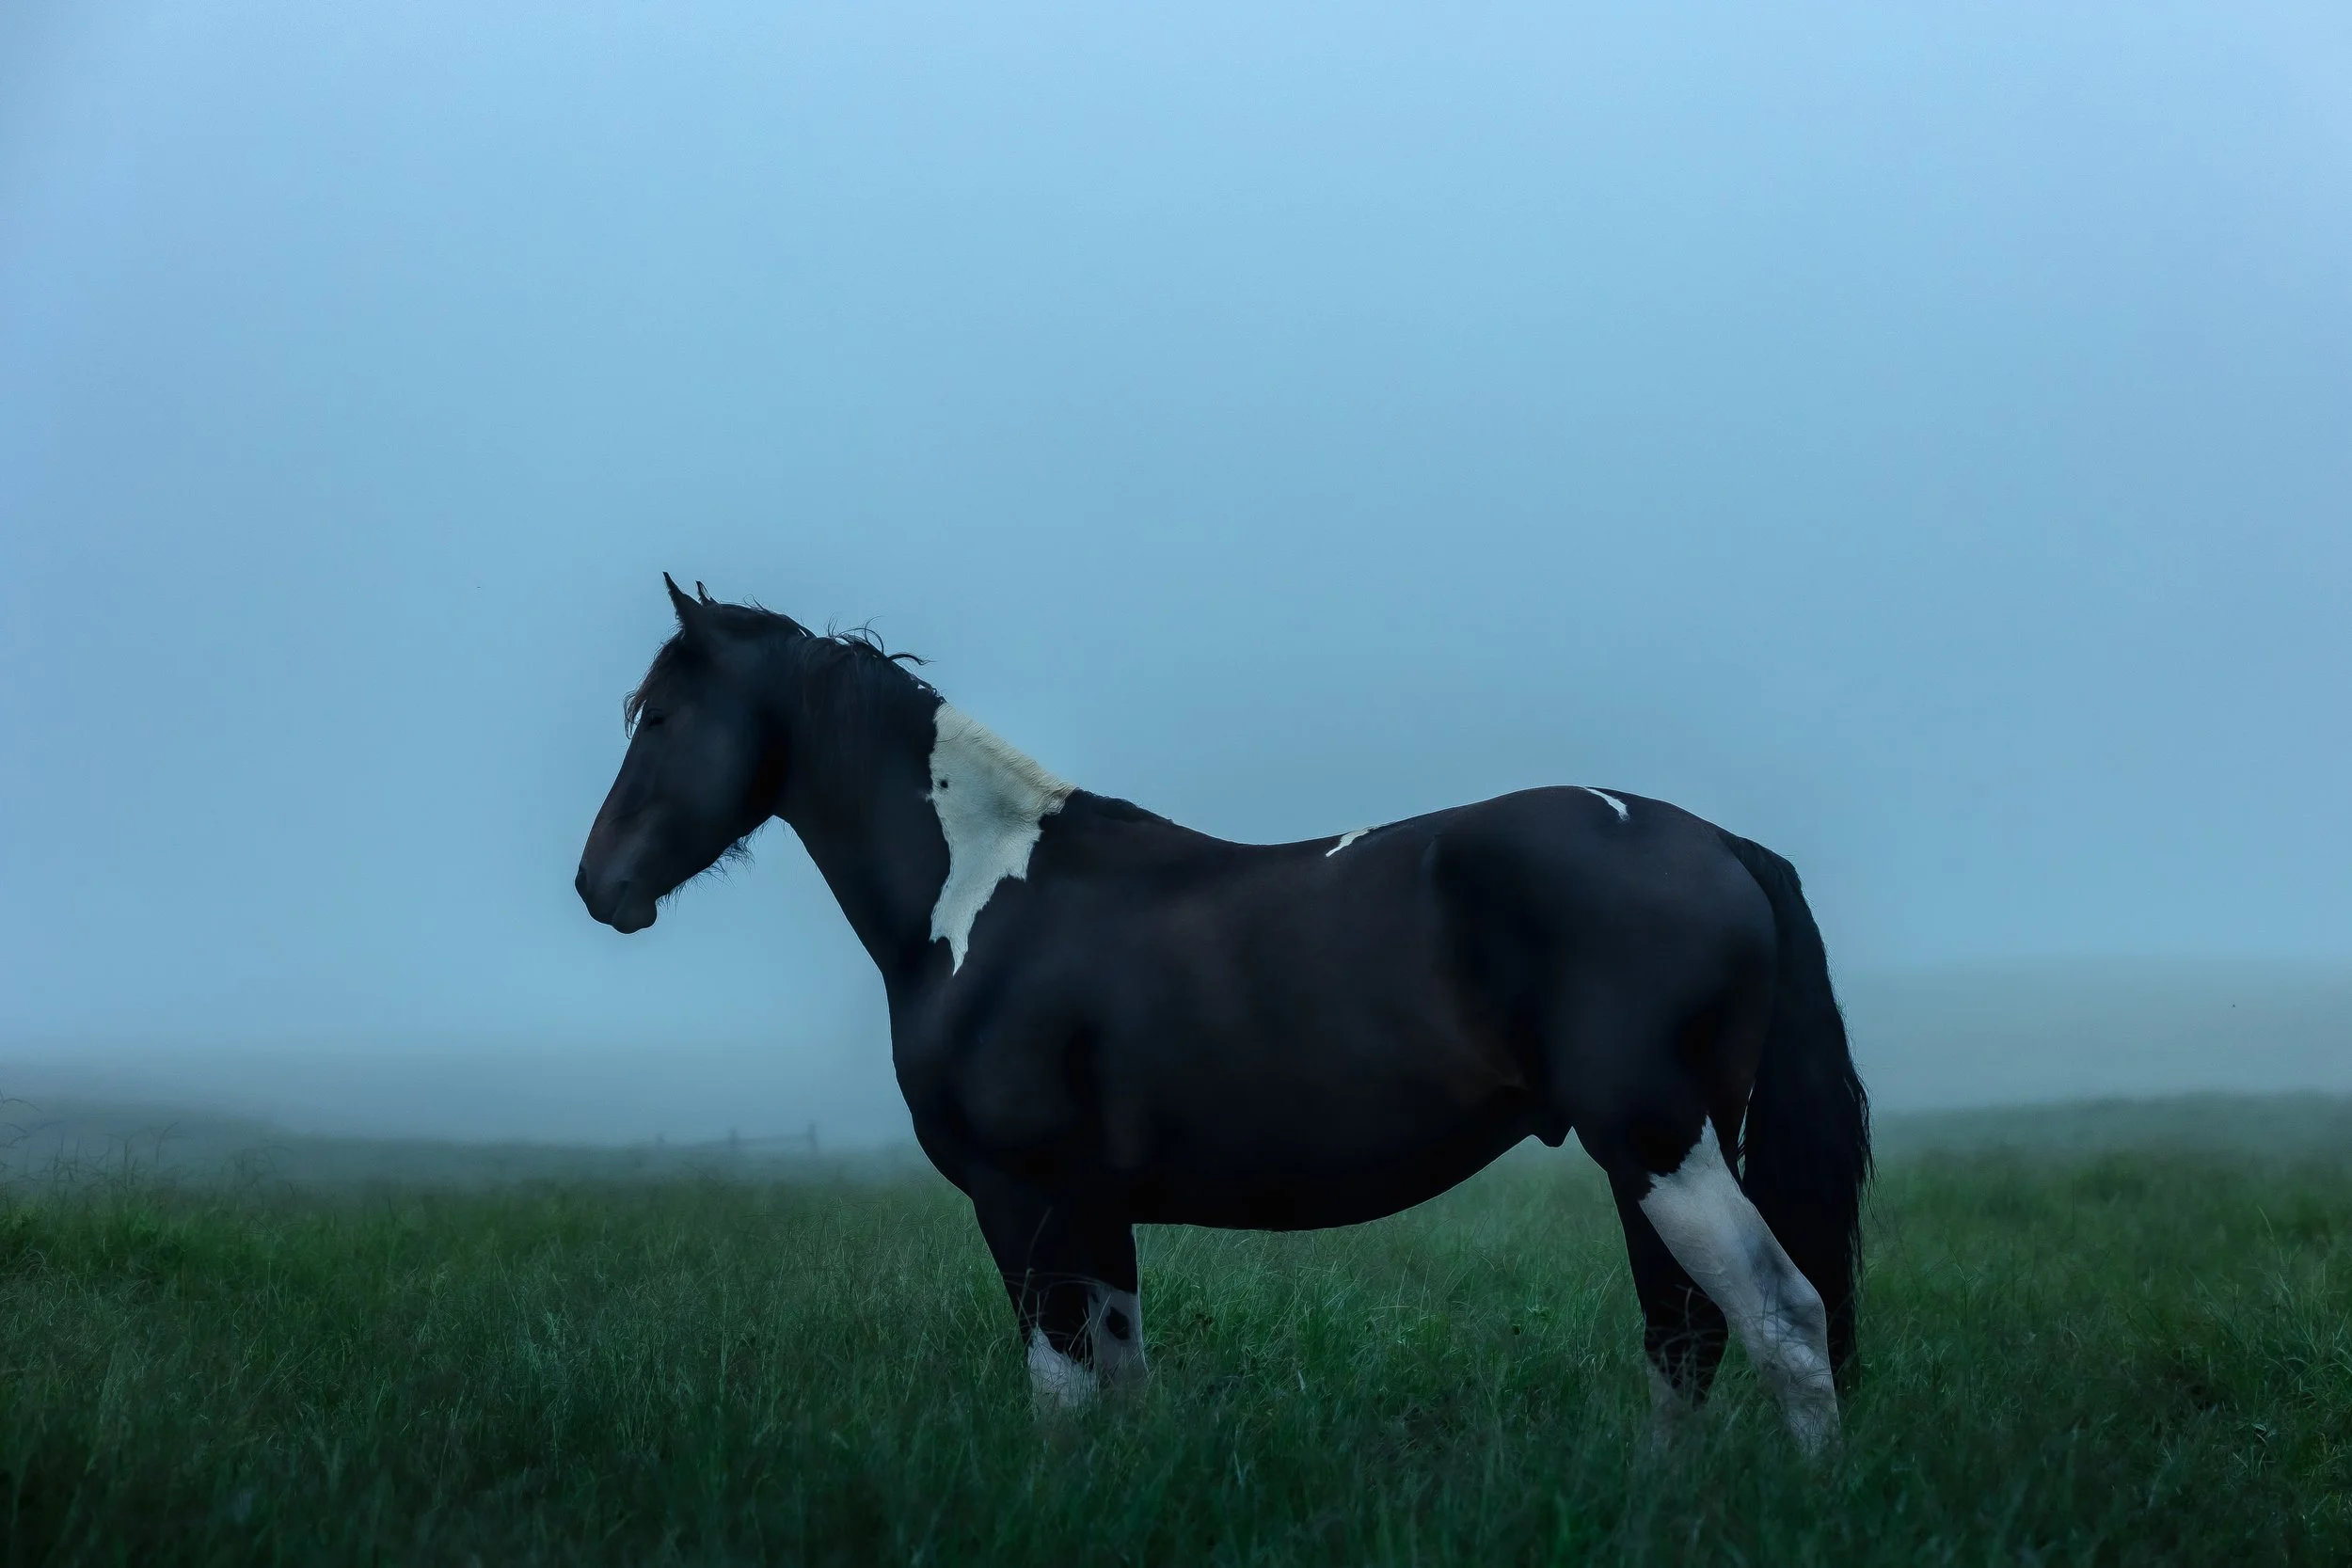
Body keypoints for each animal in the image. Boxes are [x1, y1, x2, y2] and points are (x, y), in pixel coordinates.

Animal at [576, 577, 1870, 1449]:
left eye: (661, 717)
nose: (600, 885)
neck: (980, 895)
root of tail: (1715, 841)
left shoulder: (1022, 1199)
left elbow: (1058, 1397)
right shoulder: (1094, 1213)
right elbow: (1122, 1386)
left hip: (1656, 1143)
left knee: (1781, 1319)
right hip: (1649, 1154)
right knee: (1685, 1336)